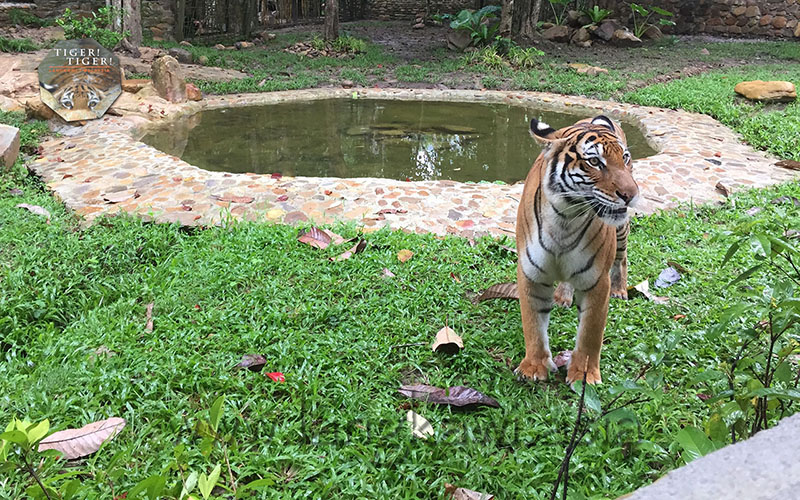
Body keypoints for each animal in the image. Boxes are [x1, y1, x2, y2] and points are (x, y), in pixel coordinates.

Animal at [516, 115, 640, 384]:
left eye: (624, 158)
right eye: (594, 162)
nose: (631, 194)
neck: (565, 218)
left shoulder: (597, 282)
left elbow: (590, 334)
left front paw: (585, 375)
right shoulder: (531, 275)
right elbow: (533, 325)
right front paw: (534, 367)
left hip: (621, 232)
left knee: (622, 259)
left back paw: (620, 291)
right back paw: (562, 296)